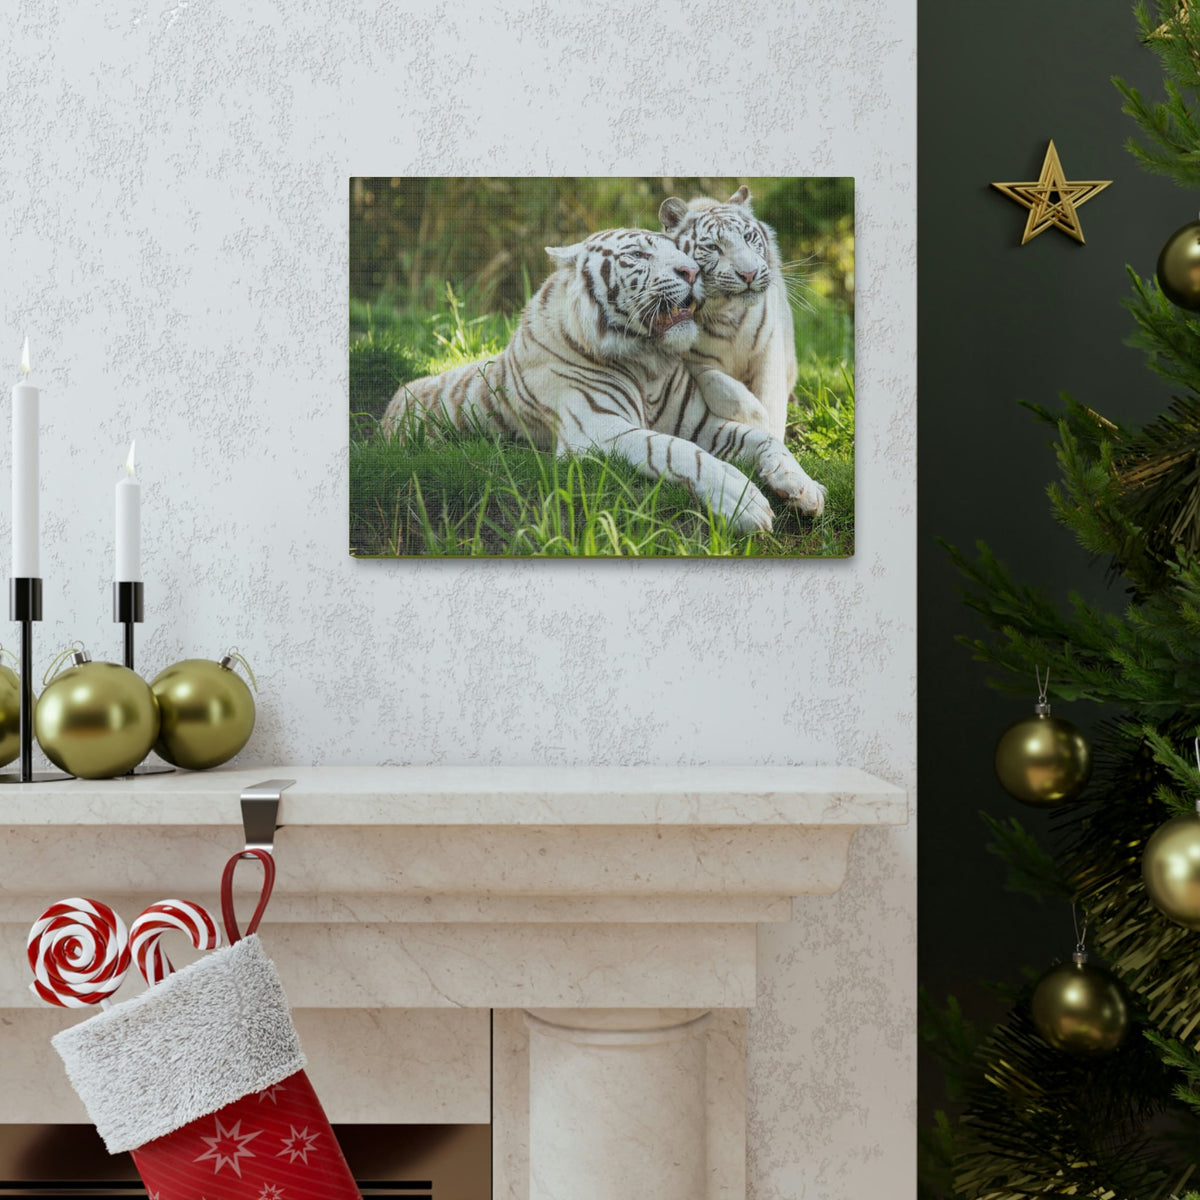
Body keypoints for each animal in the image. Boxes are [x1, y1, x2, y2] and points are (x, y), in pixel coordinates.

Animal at [380, 227, 825, 534]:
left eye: (681, 252)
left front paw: (803, 487)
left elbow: (764, 439)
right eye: (639, 254)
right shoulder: (597, 430)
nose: (692, 270)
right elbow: (677, 451)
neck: (647, 364)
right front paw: (744, 502)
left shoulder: (701, 423)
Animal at [659, 185, 800, 445]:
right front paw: (757, 419)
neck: (726, 313)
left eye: (747, 238)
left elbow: (772, 397)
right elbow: (721, 385)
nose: (749, 274)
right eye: (713, 248)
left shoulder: (770, 350)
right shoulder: (692, 361)